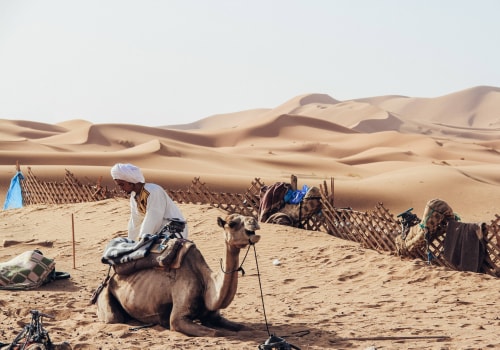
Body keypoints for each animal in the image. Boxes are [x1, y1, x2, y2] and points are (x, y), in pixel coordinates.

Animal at [95, 213, 264, 336]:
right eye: (232, 223)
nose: (254, 222)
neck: (207, 282)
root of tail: (109, 279)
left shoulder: (214, 316)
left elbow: (246, 328)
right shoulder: (178, 318)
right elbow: (216, 333)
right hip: (107, 296)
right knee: (113, 318)